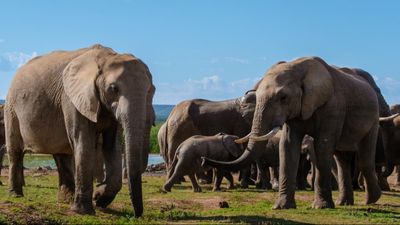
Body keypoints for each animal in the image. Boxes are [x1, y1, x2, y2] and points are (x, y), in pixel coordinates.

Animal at [4, 44, 155, 216]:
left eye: (150, 90)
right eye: (113, 88)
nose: (137, 215)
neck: (106, 57)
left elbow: (112, 146)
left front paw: (99, 199)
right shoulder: (71, 99)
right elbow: (84, 142)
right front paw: (84, 211)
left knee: (61, 155)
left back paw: (66, 199)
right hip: (11, 108)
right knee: (15, 152)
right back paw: (16, 195)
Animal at [205, 56, 382, 209]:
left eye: (283, 97)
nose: (204, 159)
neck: (299, 67)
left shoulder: (333, 106)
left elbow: (323, 147)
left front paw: (320, 207)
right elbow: (287, 147)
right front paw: (281, 207)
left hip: (374, 119)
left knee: (364, 158)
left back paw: (372, 199)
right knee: (342, 160)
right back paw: (344, 203)